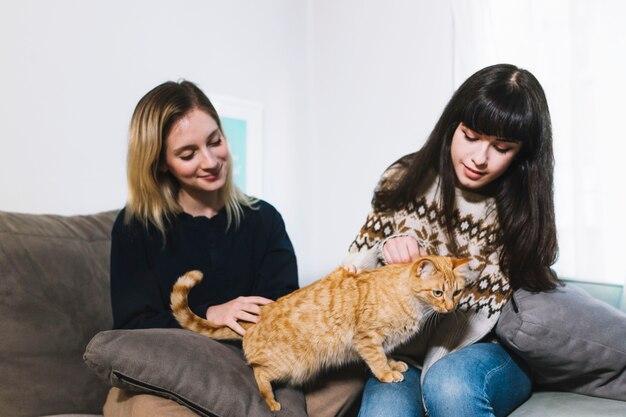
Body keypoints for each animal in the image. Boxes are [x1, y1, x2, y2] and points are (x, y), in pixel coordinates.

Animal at [168, 254, 466, 410]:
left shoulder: (384, 341)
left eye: (457, 293)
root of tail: (254, 321)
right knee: (258, 371)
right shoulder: (367, 339)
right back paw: (270, 400)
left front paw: (395, 364)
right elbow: (377, 361)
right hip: (295, 364)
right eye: (438, 293)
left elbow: (386, 355)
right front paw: (387, 373)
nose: (451, 308)